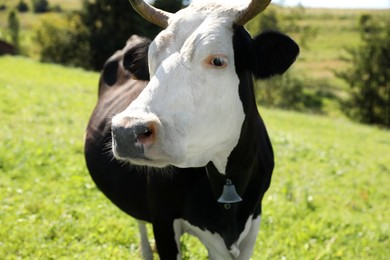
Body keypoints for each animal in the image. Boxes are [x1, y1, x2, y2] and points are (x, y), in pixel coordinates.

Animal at [85, 0, 298, 260]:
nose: (127, 131)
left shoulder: (254, 220)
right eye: (151, 59)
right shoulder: (163, 220)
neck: (229, 178)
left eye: (218, 61)